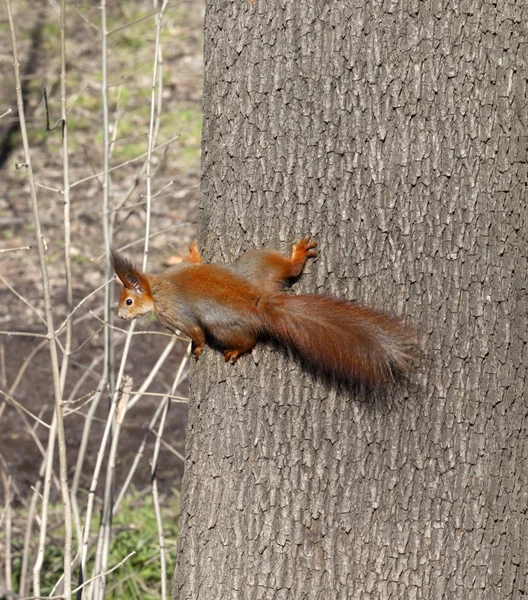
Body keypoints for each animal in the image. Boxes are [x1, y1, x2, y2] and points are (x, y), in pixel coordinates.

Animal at [111, 239, 416, 384]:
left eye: (128, 301)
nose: (120, 317)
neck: (157, 285)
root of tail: (257, 301)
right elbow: (193, 260)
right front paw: (194, 248)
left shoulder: (175, 312)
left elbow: (195, 332)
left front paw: (195, 348)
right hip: (258, 264)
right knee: (288, 270)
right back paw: (298, 256)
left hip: (222, 324)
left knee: (248, 341)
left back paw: (236, 350)